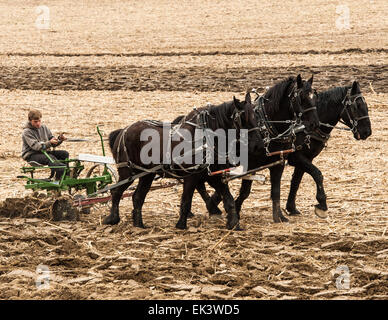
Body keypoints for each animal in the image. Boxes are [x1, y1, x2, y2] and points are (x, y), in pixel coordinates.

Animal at [104, 92, 260, 230]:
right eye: (242, 119)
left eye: (255, 116)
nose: (257, 144)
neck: (205, 138)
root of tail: (124, 130)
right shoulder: (191, 176)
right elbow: (186, 201)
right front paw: (181, 225)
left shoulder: (213, 175)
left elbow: (229, 199)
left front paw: (234, 224)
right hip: (127, 171)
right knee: (116, 192)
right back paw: (112, 218)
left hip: (147, 174)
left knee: (137, 197)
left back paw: (138, 225)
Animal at [192, 75, 320, 222]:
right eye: (301, 97)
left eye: (315, 96)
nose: (315, 124)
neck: (267, 126)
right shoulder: (250, 165)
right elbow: (245, 191)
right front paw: (235, 211)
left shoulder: (278, 163)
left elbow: (276, 191)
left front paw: (279, 217)